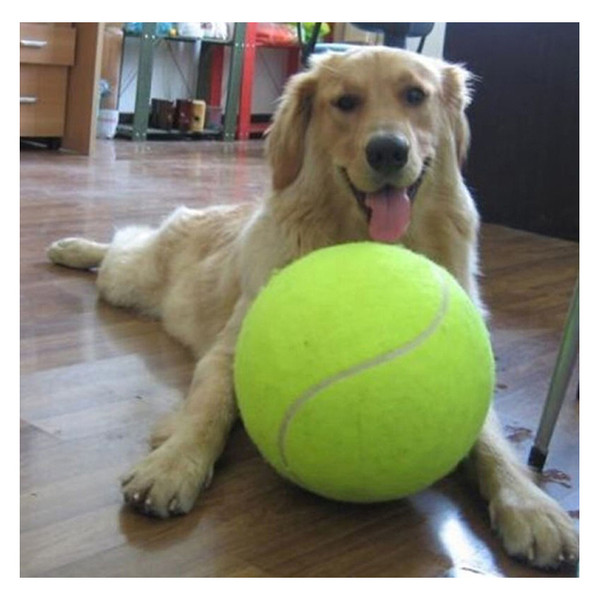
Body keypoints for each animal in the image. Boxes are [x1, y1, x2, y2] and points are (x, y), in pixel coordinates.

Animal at [47, 47, 576, 568]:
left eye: (414, 96)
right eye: (345, 103)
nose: (388, 150)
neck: (366, 242)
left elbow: (492, 444)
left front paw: (533, 507)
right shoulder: (228, 353)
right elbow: (208, 410)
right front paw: (174, 463)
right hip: (129, 278)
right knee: (120, 244)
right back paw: (71, 248)